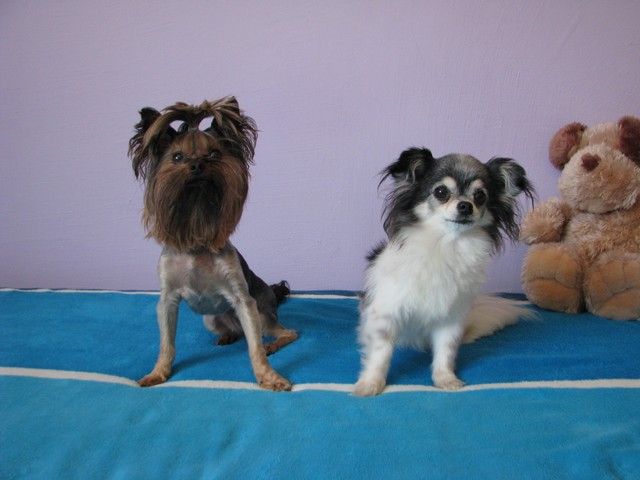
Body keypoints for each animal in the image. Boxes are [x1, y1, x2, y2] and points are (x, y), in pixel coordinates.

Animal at [128, 96, 297, 391]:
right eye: (177, 157)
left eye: (214, 154)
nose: (197, 164)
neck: (197, 241)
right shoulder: (167, 300)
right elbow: (166, 344)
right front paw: (158, 373)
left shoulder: (244, 301)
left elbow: (255, 348)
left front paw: (269, 377)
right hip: (211, 319)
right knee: (237, 331)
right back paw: (229, 336)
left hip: (262, 313)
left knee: (285, 332)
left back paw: (273, 344)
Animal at [354, 148, 535, 396]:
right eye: (441, 192)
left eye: (480, 196)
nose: (465, 205)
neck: (446, 245)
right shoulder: (386, 312)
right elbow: (381, 354)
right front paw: (371, 383)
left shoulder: (451, 319)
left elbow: (446, 352)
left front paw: (445, 379)